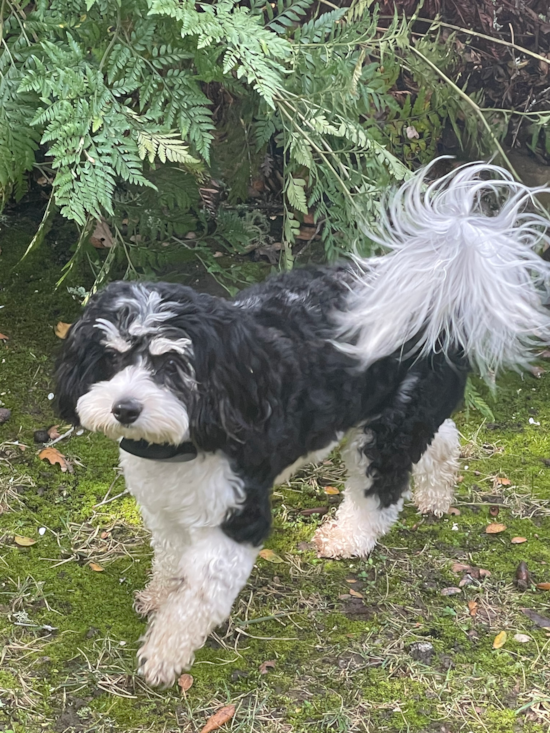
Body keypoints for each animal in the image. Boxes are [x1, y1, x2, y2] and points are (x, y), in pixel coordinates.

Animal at [52, 160, 550, 688]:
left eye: (171, 365)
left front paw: (166, 650)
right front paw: (159, 595)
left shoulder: (238, 519)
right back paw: (436, 495)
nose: (124, 409)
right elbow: (170, 562)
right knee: (442, 436)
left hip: (383, 434)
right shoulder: (164, 511)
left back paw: (349, 538)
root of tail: (437, 279)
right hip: (394, 409)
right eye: (110, 358)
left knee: (381, 492)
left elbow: (198, 596)